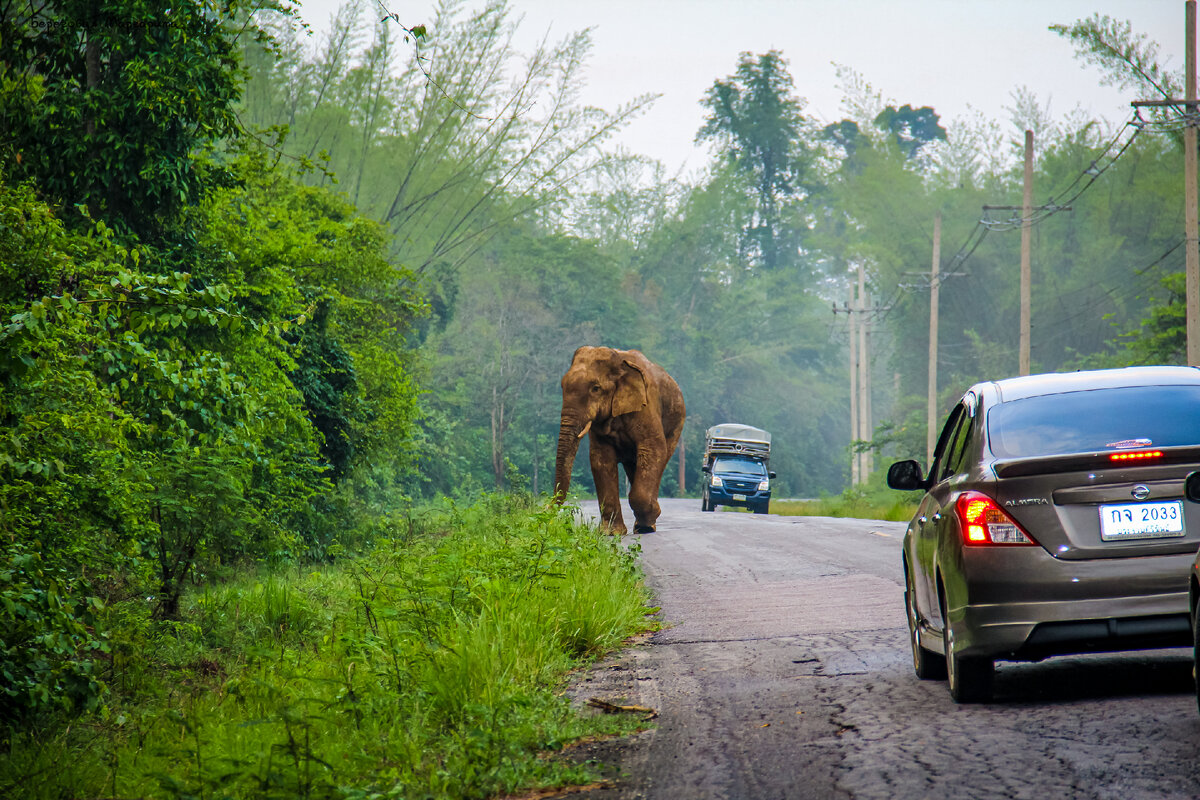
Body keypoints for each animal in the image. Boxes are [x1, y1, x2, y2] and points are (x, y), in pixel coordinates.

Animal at [552, 347, 686, 534]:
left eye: (595, 388)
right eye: (562, 386)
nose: (548, 511)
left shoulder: (647, 405)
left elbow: (654, 447)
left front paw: (648, 523)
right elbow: (601, 459)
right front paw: (611, 533)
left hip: (676, 425)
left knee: (660, 458)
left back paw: (647, 524)